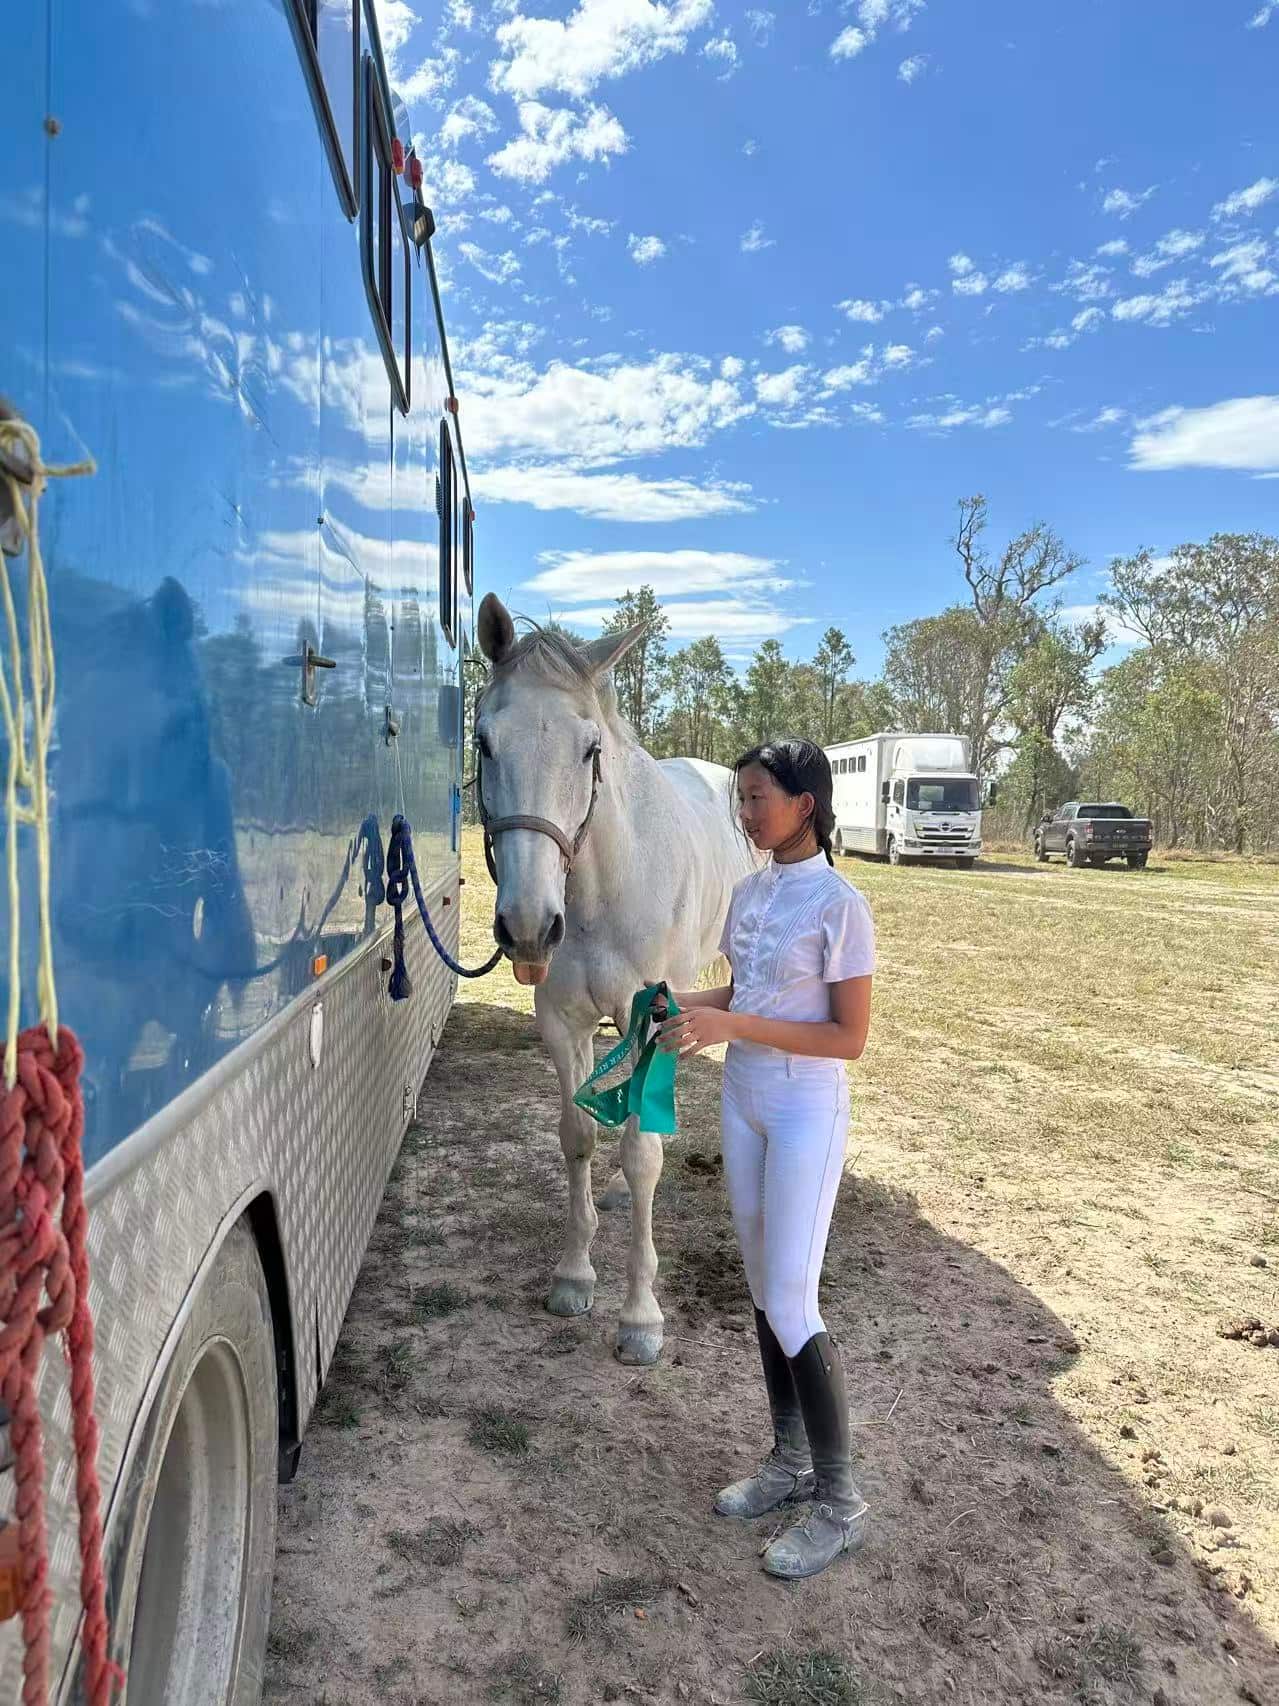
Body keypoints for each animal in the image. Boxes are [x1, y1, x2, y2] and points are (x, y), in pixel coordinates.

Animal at [475, 594, 756, 1364]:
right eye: (483, 743)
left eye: (589, 749)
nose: (528, 925)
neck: (605, 887)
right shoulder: (562, 1020)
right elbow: (578, 1135)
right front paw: (575, 1275)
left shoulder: (653, 1019)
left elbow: (640, 1155)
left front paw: (640, 1315)